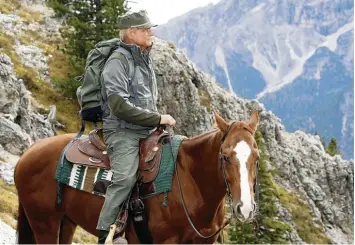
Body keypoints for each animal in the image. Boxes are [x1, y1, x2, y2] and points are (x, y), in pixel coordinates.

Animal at [13, 112, 260, 244]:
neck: (191, 181)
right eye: (225, 157)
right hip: (44, 222)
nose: (245, 208)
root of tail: (30, 150)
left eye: (257, 156)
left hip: (66, 221)